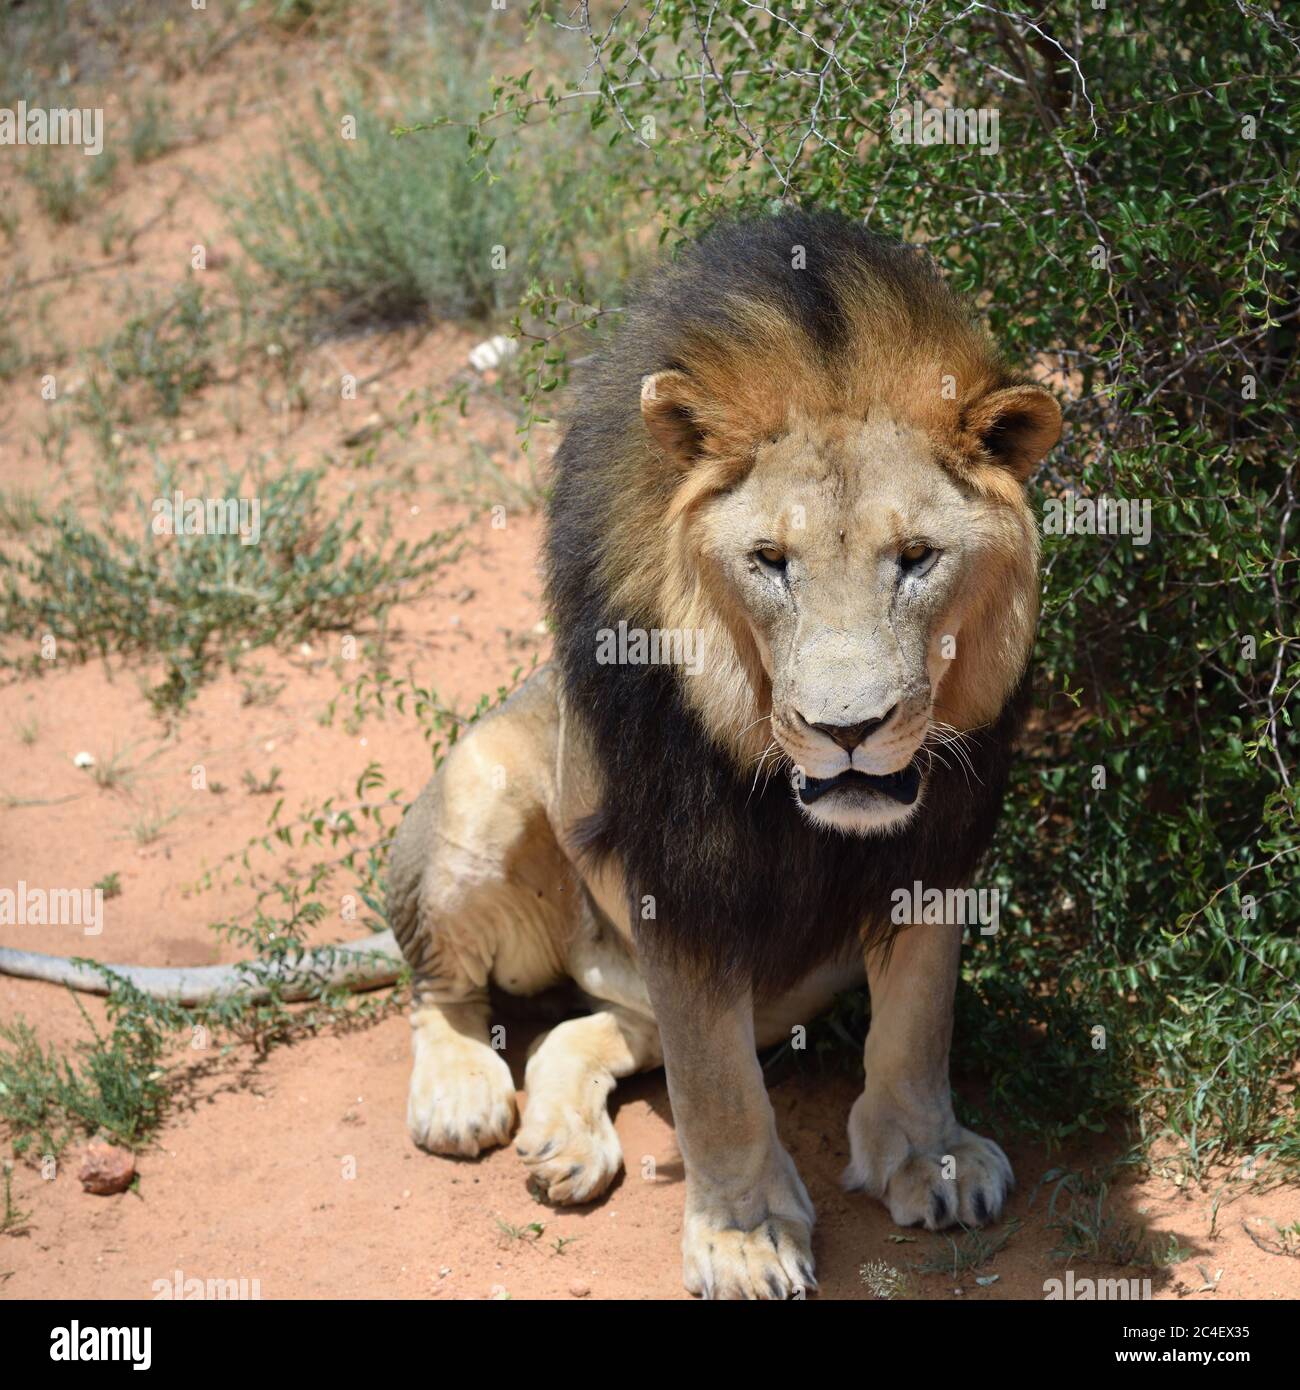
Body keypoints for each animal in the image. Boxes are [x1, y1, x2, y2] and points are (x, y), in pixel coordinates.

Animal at [385, 209, 1062, 1299]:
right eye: (769, 562)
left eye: (916, 558)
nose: (847, 730)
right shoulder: (679, 869)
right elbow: (714, 1086)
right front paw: (743, 1235)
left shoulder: (941, 842)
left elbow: (918, 1017)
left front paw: (928, 1155)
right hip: (485, 794)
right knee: (443, 991)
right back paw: (461, 1095)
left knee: (587, 1031)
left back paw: (564, 1141)